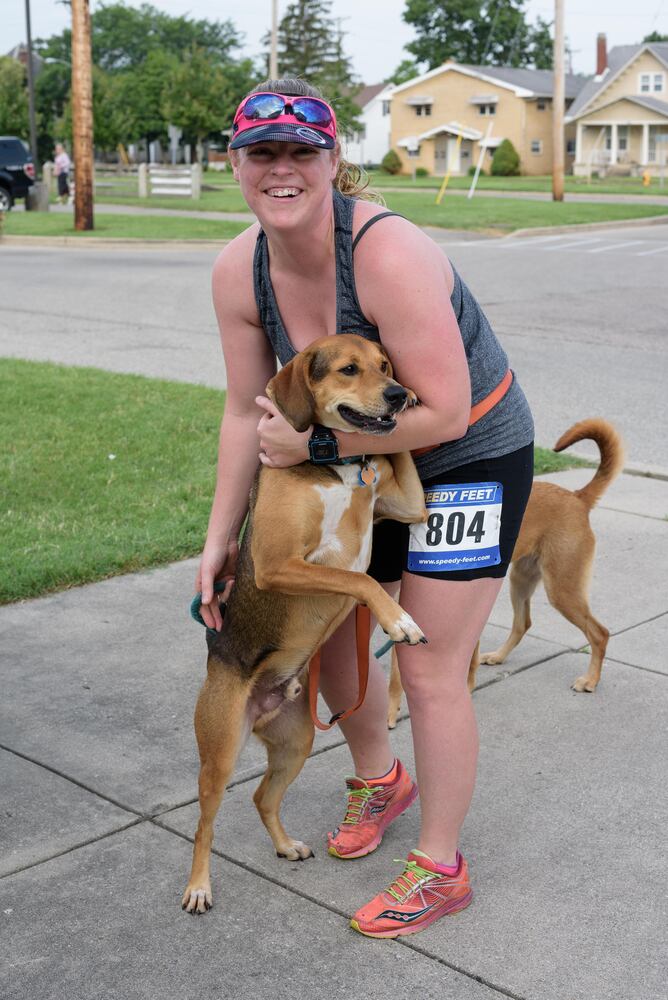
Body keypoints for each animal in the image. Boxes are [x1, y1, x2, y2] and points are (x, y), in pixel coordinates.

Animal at [181, 336, 428, 916]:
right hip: (219, 753)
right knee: (205, 824)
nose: (397, 393)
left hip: (297, 742)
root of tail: (265, 700)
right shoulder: (279, 564)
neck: (338, 466)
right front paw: (398, 619)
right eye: (349, 369)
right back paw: (199, 888)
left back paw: (286, 845)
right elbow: (360, 580)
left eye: (386, 365)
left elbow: (398, 468)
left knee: (261, 795)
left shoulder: (409, 504)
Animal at [386, 418, 628, 732]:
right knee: (523, 623)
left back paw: (590, 680)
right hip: (520, 581)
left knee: (599, 633)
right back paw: (499, 656)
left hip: (562, 589)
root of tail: (577, 498)